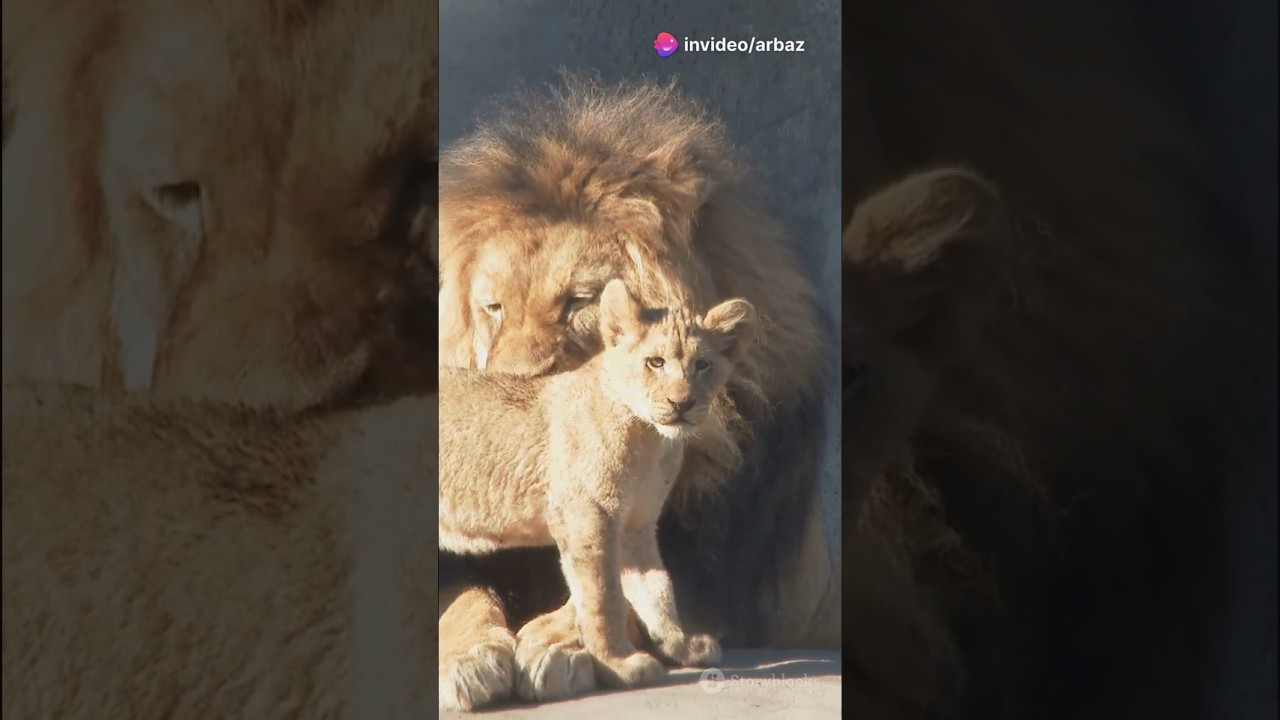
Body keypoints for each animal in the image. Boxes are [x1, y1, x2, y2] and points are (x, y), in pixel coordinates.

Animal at [441, 279, 754, 690]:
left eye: (703, 365)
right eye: (655, 363)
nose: (682, 403)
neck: (649, 439)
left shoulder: (637, 524)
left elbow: (657, 588)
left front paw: (681, 645)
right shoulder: (586, 517)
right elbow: (603, 597)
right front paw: (619, 663)